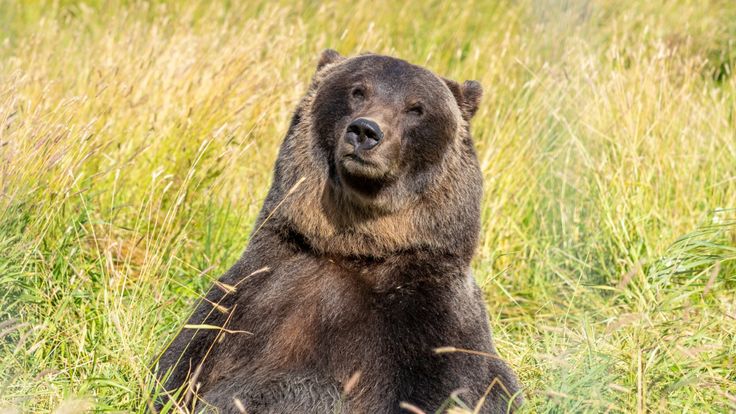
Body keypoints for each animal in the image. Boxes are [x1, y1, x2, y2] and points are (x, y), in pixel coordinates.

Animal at [155, 50, 524, 412]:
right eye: (357, 90)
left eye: (416, 108)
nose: (365, 131)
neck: (355, 249)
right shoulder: (258, 289)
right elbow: (185, 361)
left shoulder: (429, 309)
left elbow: (447, 388)